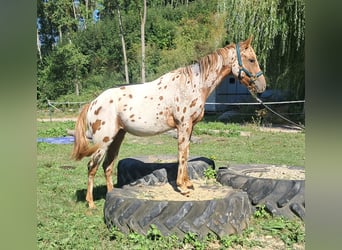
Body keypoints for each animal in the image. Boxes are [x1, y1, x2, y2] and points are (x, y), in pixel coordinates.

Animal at [71, 34, 264, 207]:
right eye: (251, 59)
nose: (262, 86)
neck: (192, 84)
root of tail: (93, 103)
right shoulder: (183, 125)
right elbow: (182, 154)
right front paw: (183, 188)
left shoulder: (189, 127)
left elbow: (185, 152)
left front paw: (188, 184)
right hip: (102, 141)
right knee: (92, 166)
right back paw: (91, 204)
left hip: (116, 138)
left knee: (107, 166)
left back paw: (112, 194)